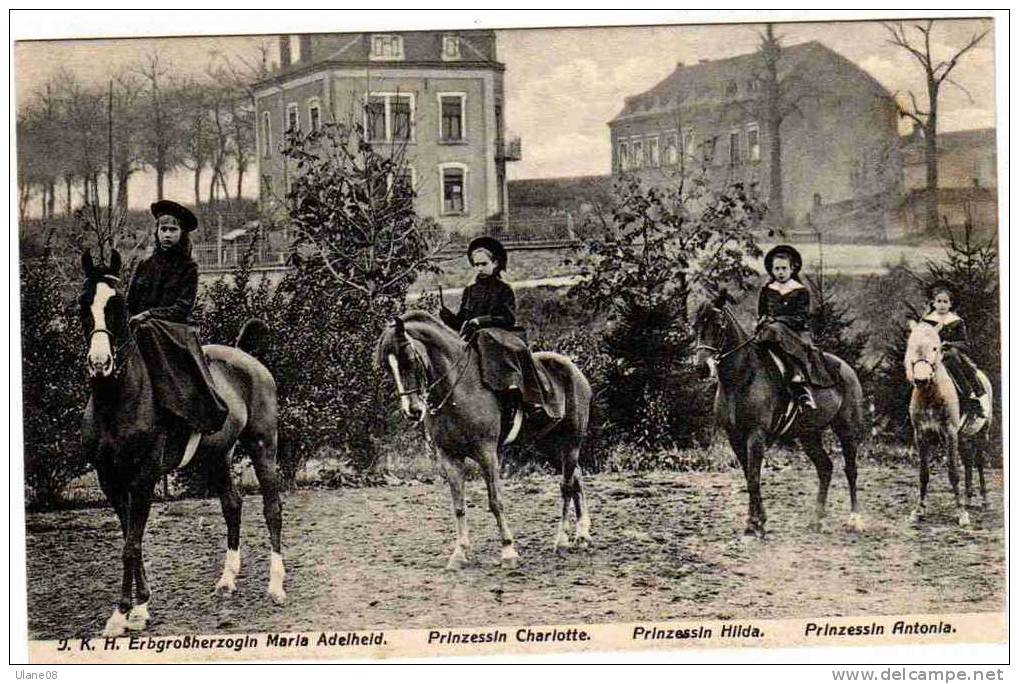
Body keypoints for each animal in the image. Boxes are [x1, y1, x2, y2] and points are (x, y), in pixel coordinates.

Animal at [77, 249, 287, 636]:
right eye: (84, 304)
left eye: (118, 305)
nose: (100, 364)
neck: (116, 400)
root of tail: (247, 356)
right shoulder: (110, 480)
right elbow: (131, 539)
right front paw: (136, 607)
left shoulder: (143, 478)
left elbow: (131, 545)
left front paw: (128, 612)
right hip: (218, 455)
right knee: (232, 505)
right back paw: (227, 580)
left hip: (263, 445)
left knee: (272, 509)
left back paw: (276, 586)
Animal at [379, 313, 595, 570]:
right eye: (388, 367)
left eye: (409, 358)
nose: (412, 411)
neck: (459, 390)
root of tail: (574, 369)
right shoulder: (449, 457)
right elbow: (459, 505)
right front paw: (460, 553)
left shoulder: (487, 453)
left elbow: (495, 501)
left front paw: (508, 551)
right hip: (549, 447)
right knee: (576, 477)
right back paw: (582, 534)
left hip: (571, 443)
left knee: (566, 486)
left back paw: (562, 540)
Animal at [688, 293, 864, 542]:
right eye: (695, 326)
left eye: (718, 325)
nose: (702, 368)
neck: (742, 377)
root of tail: (847, 369)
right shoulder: (735, 437)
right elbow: (749, 477)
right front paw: (755, 522)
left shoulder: (756, 435)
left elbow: (754, 478)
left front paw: (756, 524)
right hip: (808, 434)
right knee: (825, 467)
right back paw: (817, 519)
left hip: (847, 429)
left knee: (851, 470)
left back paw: (855, 520)